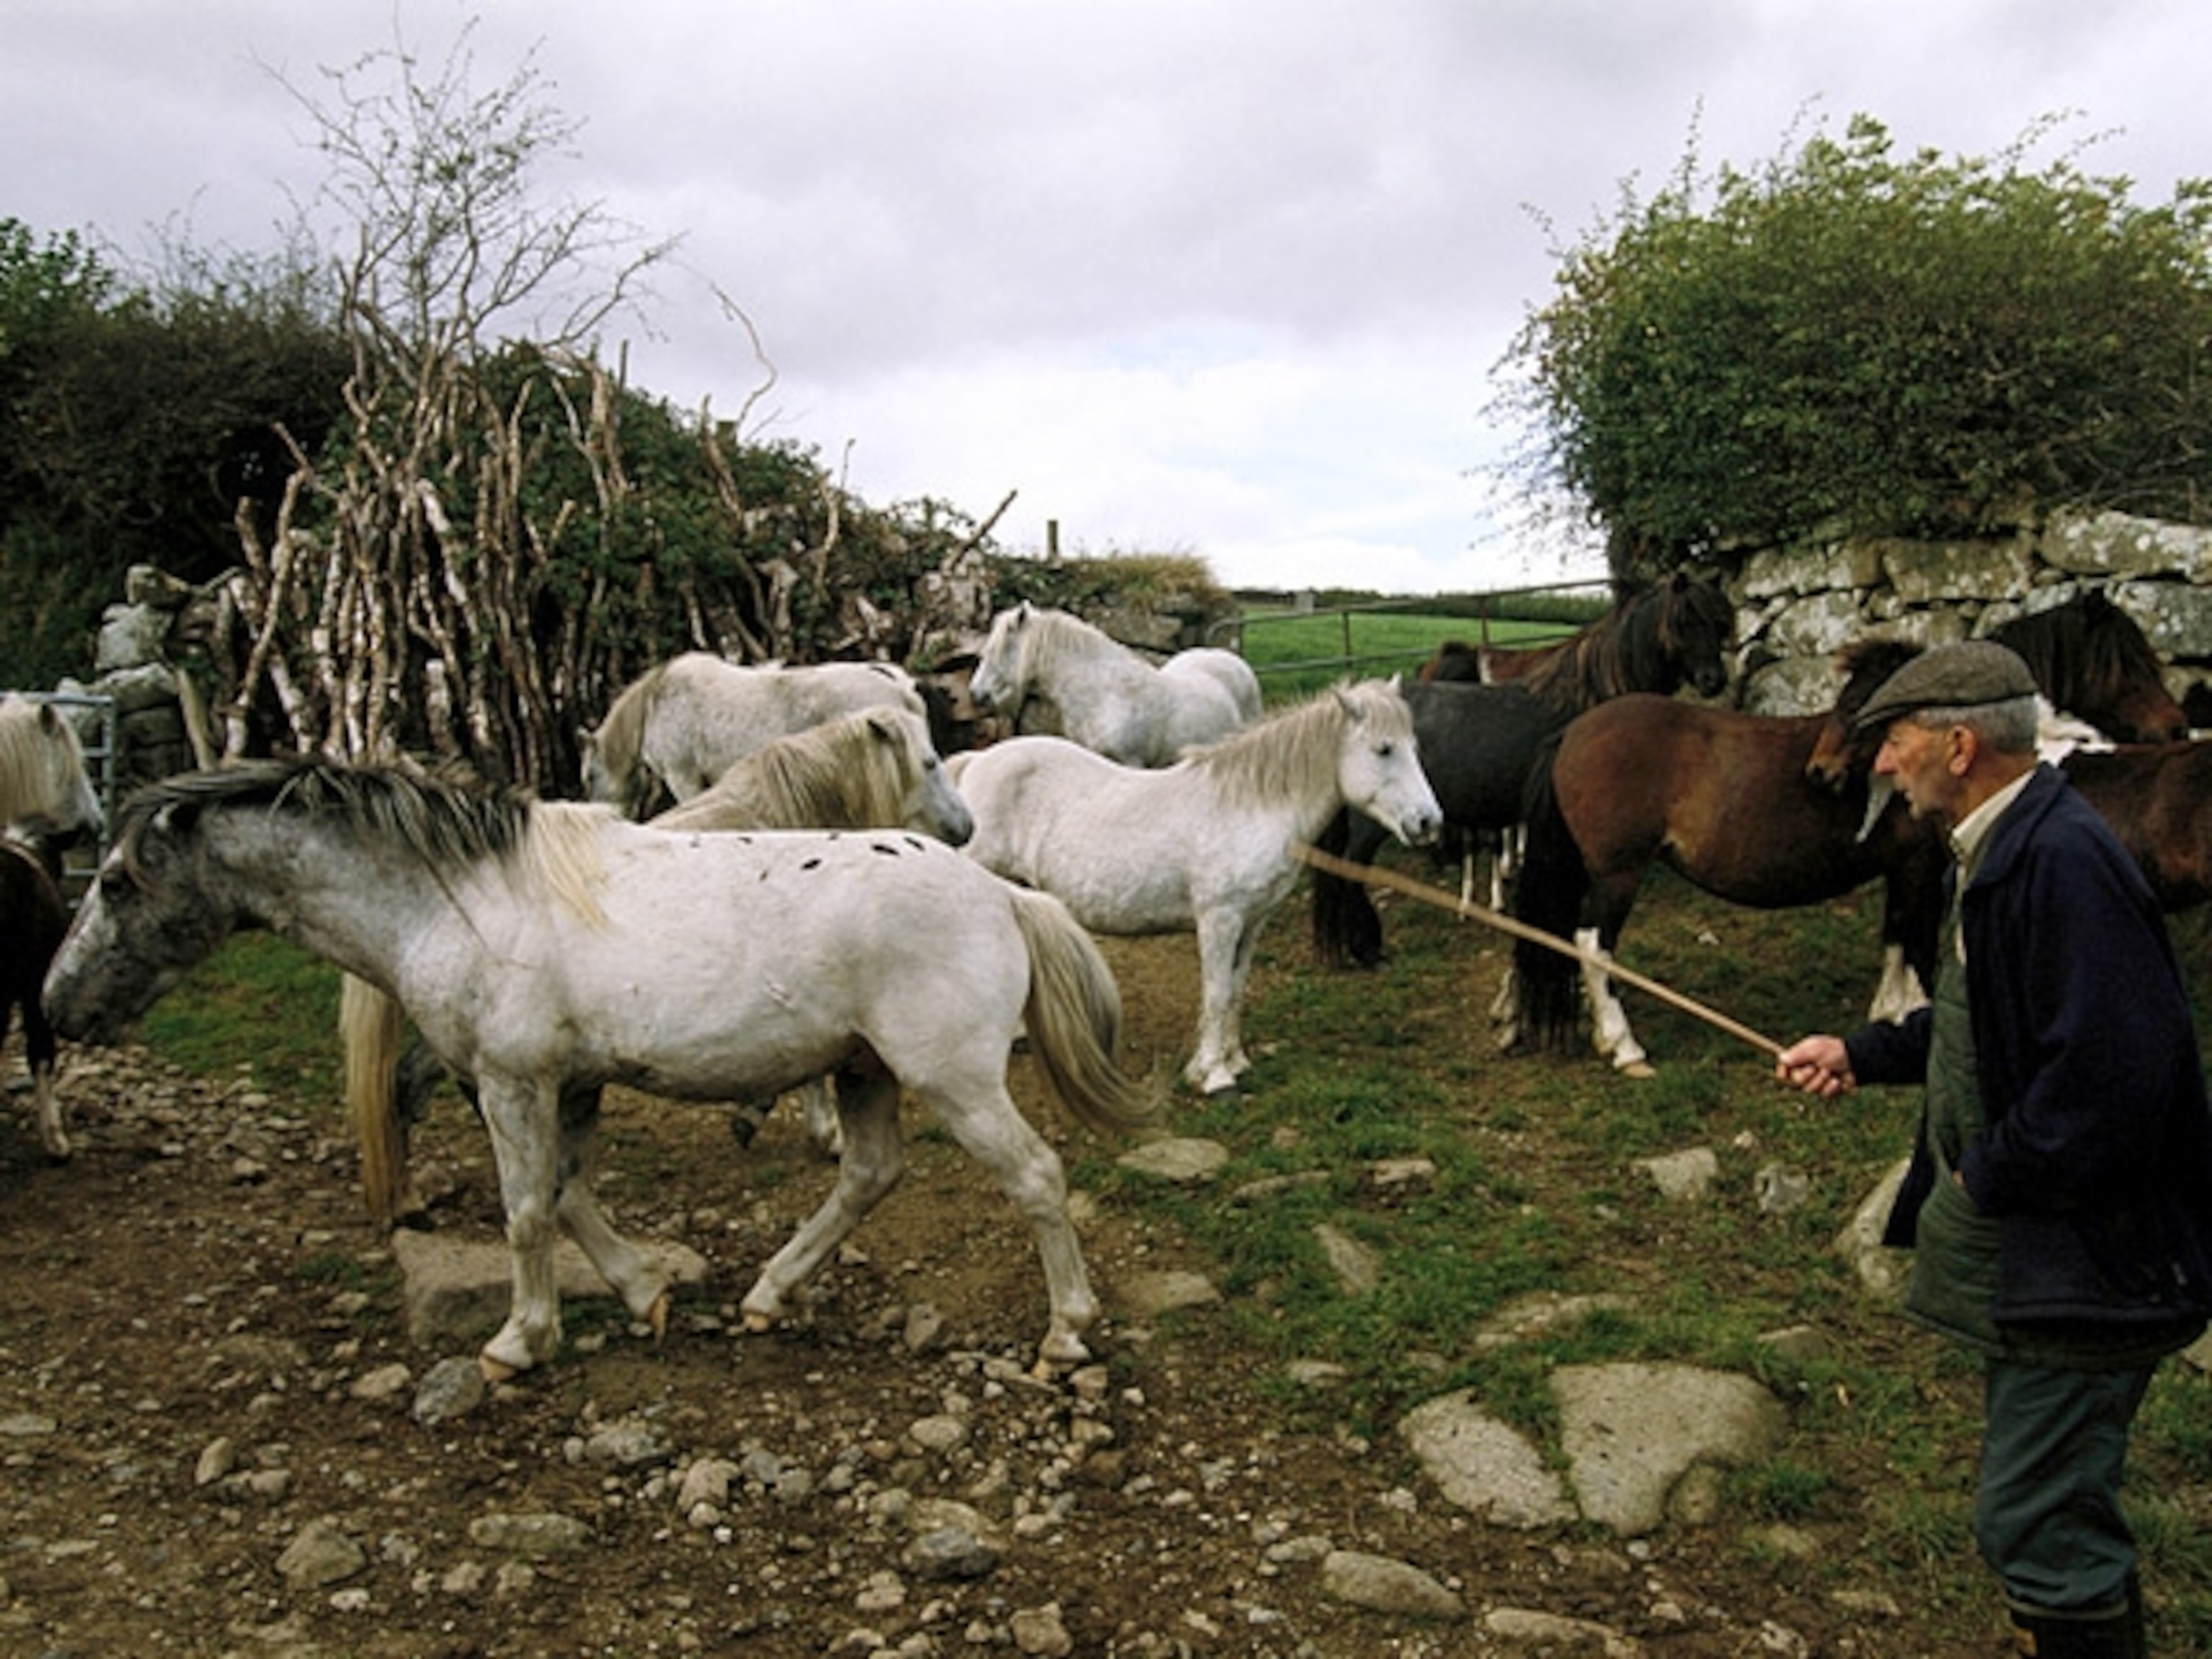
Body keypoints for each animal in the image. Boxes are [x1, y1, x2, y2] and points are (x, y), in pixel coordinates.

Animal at [46, 758, 1153, 1378]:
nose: (58, 1007)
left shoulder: (511, 1082)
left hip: (952, 1079)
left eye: (116, 881)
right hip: (865, 1071)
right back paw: (767, 1293)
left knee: (1036, 1178)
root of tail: (1003, 895)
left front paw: (517, 1343)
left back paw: (1066, 1333)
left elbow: (527, 1214)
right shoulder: (567, 1085)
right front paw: (642, 1294)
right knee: (869, 1176)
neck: (459, 900)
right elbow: (570, 1199)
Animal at [951, 679, 1442, 1095]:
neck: (1252, 807)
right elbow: (1217, 992)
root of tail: (977, 763)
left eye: (1414, 748)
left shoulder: (1253, 922)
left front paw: (1236, 1060)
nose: (1428, 822)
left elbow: (1236, 988)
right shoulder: (1220, 919)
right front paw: (1214, 1076)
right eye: (1384, 749)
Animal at [1311, 573, 1737, 969]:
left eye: (1720, 621)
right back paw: (1368, 951)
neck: (1593, 700)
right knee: (1351, 870)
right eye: (1682, 620)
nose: (1713, 680)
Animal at [1510, 639, 1949, 1073]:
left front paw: (1888, 1012)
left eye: (1864, 703)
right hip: (1618, 875)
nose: (1820, 772)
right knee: (1593, 946)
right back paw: (1626, 1048)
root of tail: (1571, 731)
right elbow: (1917, 945)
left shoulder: (1902, 868)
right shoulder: (1920, 866)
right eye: (1852, 701)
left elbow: (1896, 937)